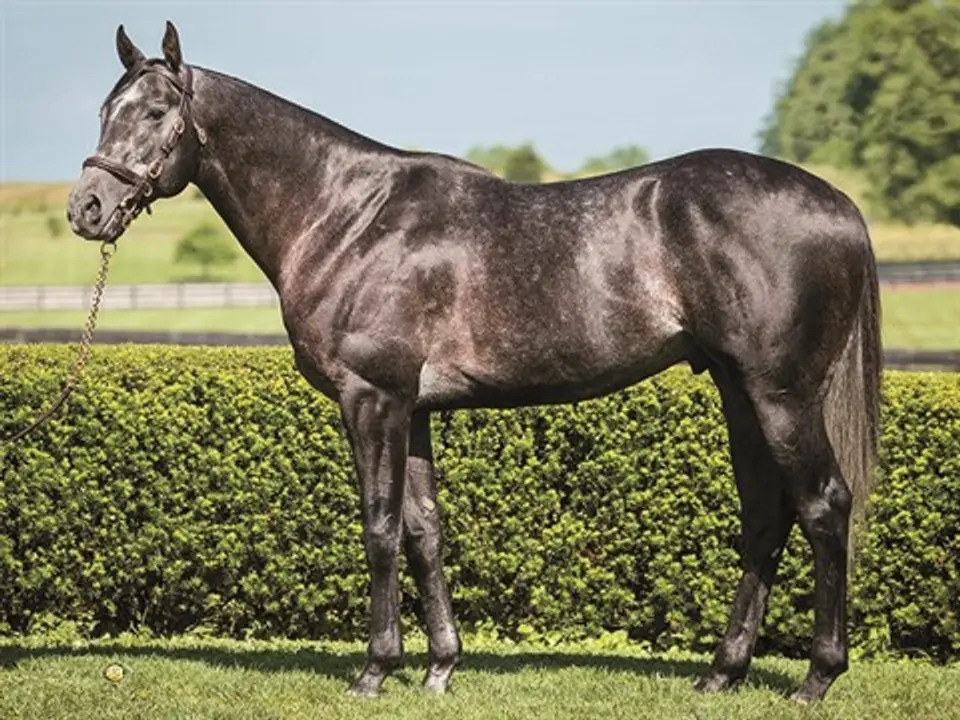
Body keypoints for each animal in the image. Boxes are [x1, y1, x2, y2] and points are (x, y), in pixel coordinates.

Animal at [67, 22, 881, 703]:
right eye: (105, 109)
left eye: (155, 112)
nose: (87, 209)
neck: (349, 216)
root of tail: (840, 204)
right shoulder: (414, 409)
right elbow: (424, 531)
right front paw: (439, 667)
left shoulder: (372, 398)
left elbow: (380, 526)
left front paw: (376, 669)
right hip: (739, 391)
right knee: (766, 516)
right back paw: (722, 673)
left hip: (781, 394)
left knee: (823, 507)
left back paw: (816, 678)